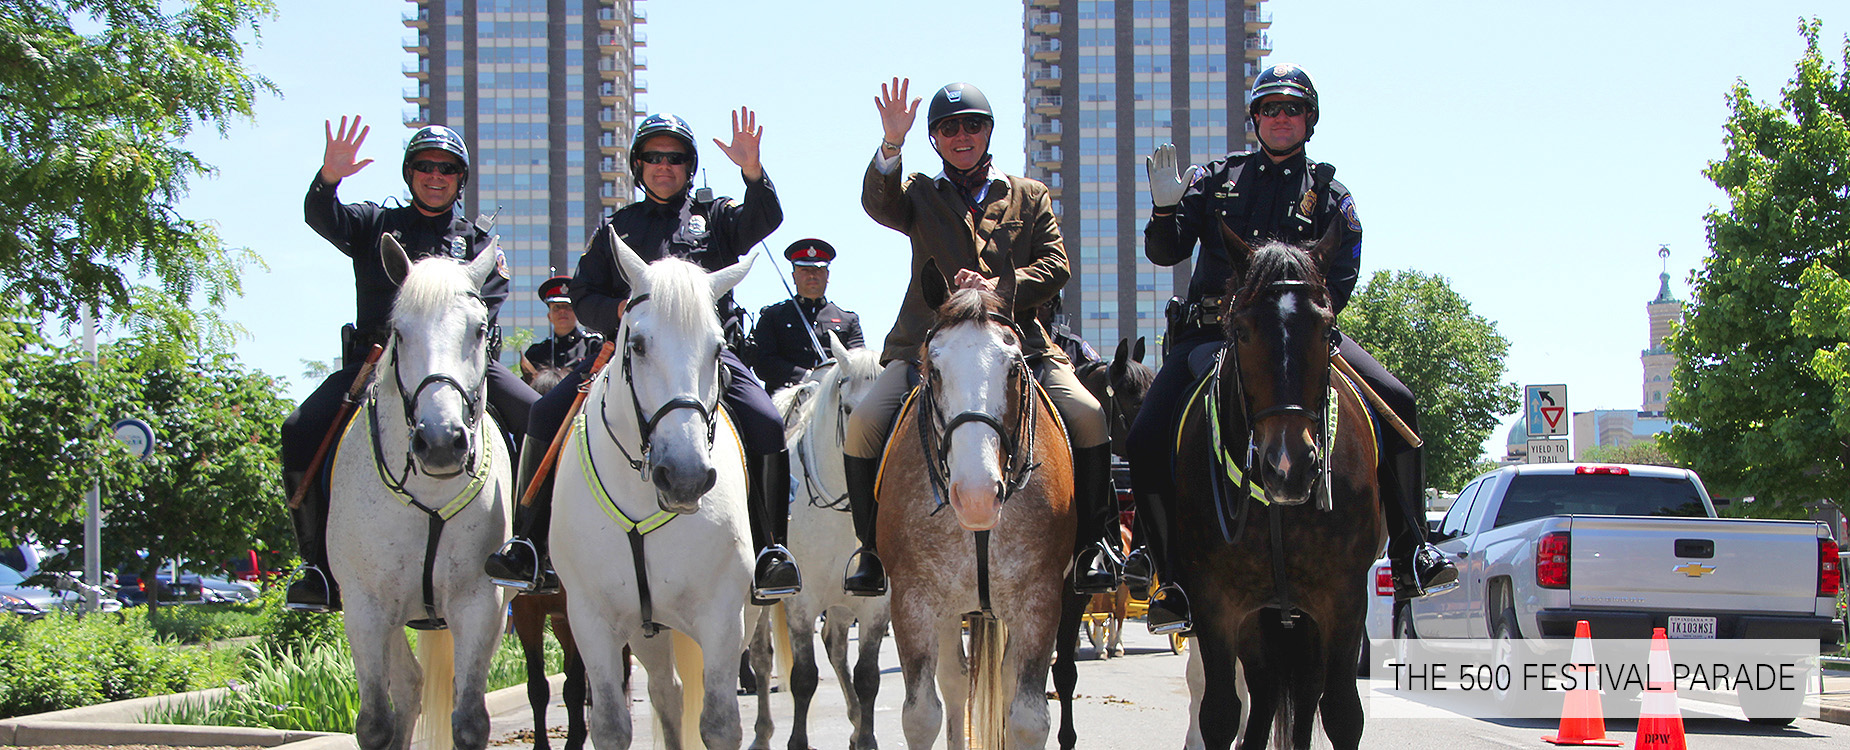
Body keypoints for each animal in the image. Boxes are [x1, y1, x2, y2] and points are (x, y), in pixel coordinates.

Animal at [327, 237, 514, 748]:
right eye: (400, 331)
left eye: (479, 330)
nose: (441, 442)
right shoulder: (365, 608)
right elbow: (374, 721)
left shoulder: (479, 604)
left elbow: (469, 720)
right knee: (408, 685)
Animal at [543, 229, 754, 748]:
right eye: (636, 345)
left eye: (718, 349)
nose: (685, 476)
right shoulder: (591, 620)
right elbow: (610, 724)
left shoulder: (723, 616)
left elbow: (720, 723)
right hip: (646, 629)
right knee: (666, 693)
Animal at [751, 331, 895, 748]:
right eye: (848, 408)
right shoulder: (801, 603)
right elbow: (803, 678)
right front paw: (798, 741)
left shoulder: (875, 606)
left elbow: (868, 677)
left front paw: (866, 738)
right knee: (761, 657)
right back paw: (762, 732)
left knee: (835, 647)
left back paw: (855, 721)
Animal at [876, 259, 1073, 744]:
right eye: (933, 368)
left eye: (1014, 368)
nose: (977, 496)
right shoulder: (912, 600)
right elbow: (921, 714)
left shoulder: (1041, 600)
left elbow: (1027, 717)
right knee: (955, 680)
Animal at [1176, 223, 1383, 748]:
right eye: (1241, 330)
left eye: (1327, 329)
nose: (1289, 466)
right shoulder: (1216, 604)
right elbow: (1220, 714)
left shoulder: (1344, 600)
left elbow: (1343, 713)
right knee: (1267, 691)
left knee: (1303, 693)